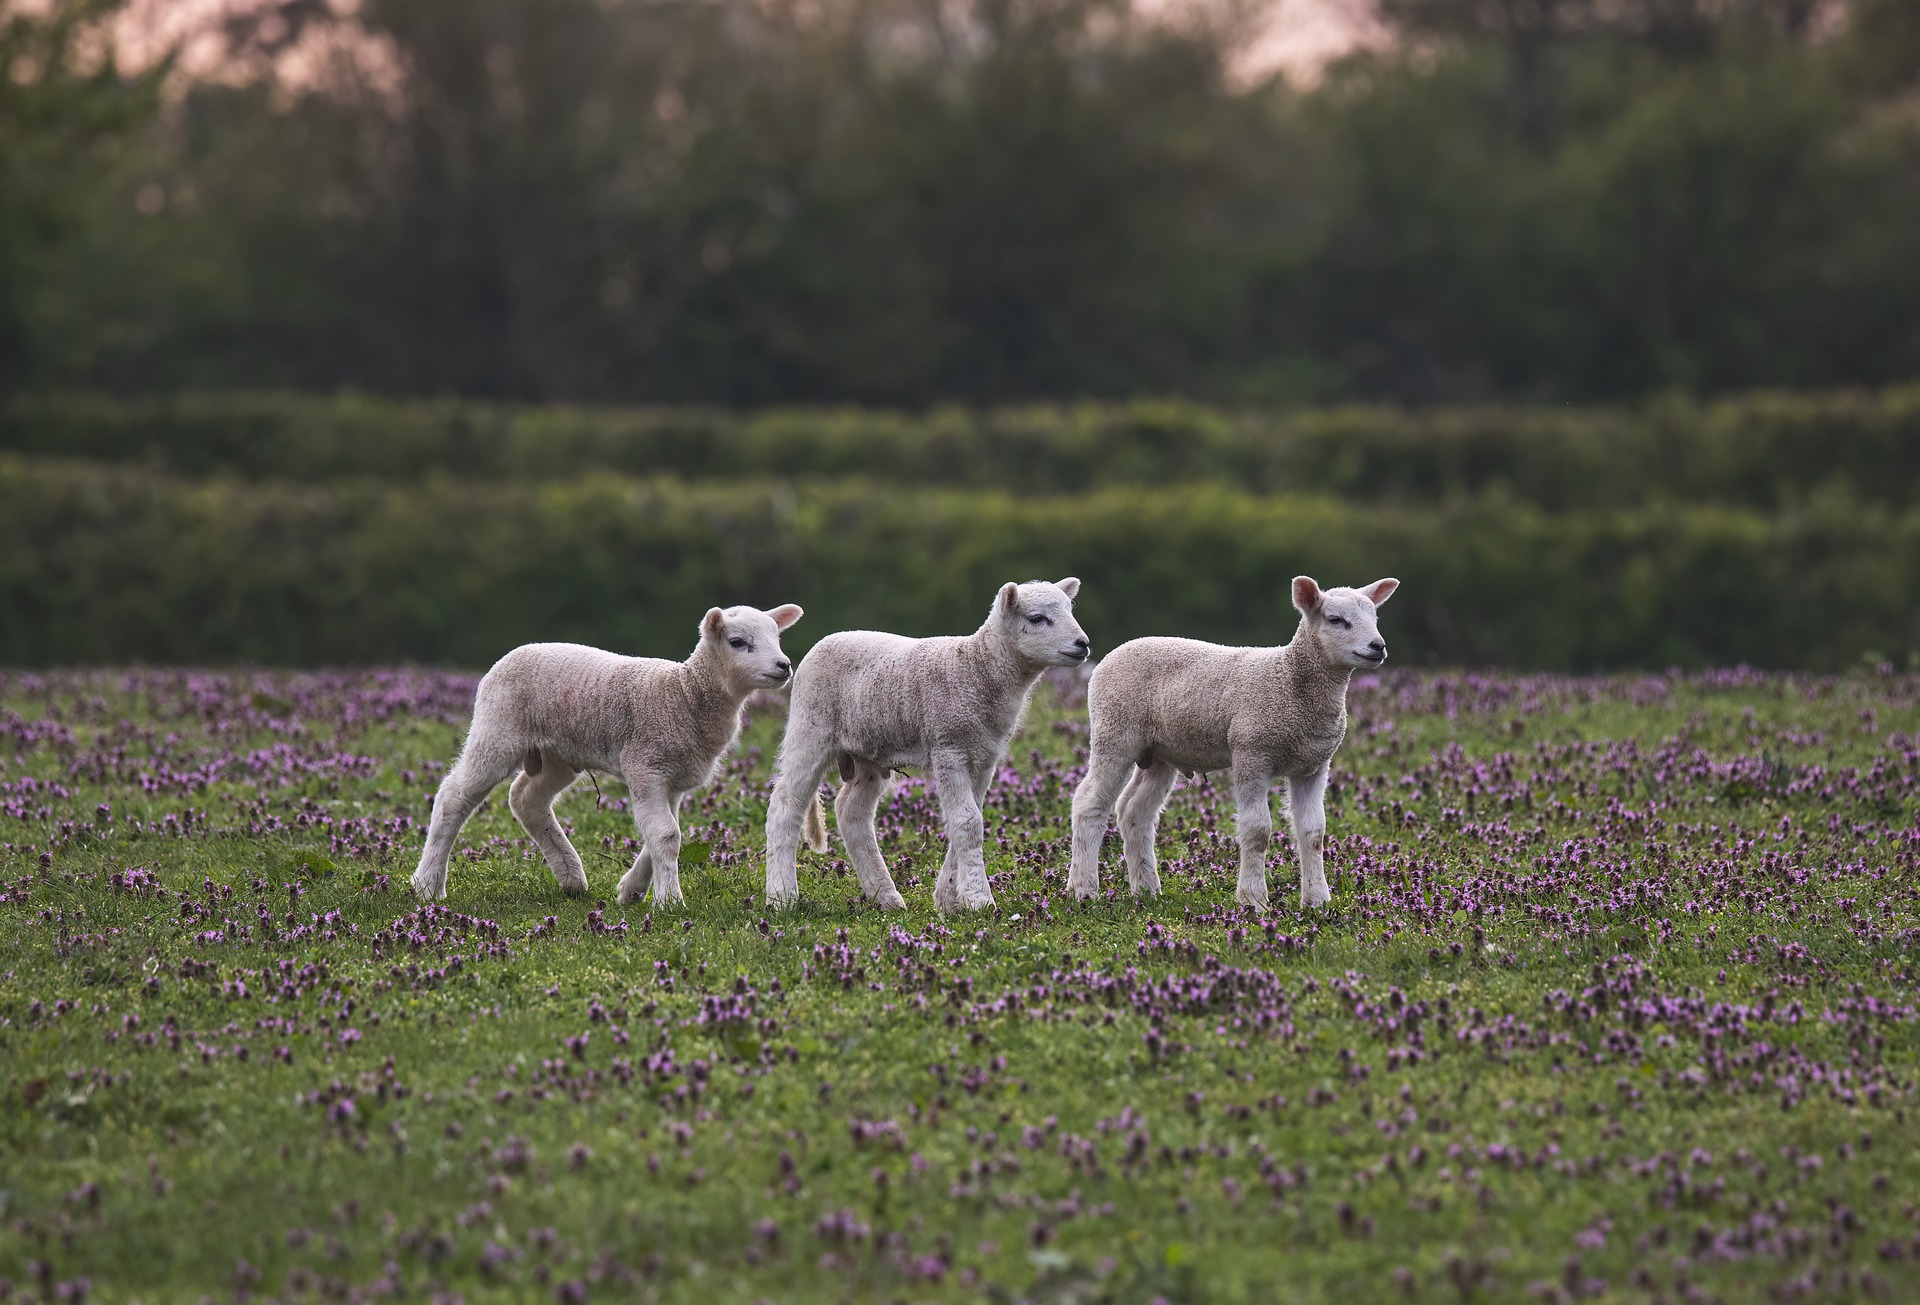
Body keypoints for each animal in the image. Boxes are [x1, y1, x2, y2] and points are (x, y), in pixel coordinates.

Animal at [412, 602, 802, 901]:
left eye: (777, 638)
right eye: (738, 642)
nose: (784, 665)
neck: (685, 692)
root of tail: (512, 653)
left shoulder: (672, 776)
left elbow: (660, 834)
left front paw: (632, 890)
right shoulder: (646, 764)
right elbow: (666, 835)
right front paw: (669, 901)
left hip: (558, 753)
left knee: (526, 798)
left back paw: (571, 878)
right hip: (498, 730)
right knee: (454, 796)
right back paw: (428, 885)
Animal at [764, 575, 1098, 913]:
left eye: (1070, 611)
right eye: (1037, 619)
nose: (1083, 644)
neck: (976, 668)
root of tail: (826, 640)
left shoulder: (984, 756)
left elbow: (968, 819)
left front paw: (948, 899)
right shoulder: (948, 746)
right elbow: (967, 822)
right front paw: (979, 900)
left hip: (869, 752)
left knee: (851, 812)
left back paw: (885, 897)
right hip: (810, 729)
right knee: (785, 806)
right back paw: (782, 897)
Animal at [1067, 575, 1397, 913]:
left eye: (1375, 618)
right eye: (1336, 620)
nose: (1378, 646)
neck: (1290, 679)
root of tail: (1112, 655)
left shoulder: (1314, 766)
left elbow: (1313, 832)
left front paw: (1317, 902)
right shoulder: (1251, 754)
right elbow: (1257, 830)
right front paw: (1253, 901)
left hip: (1159, 751)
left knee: (1135, 811)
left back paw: (1146, 891)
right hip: (1115, 732)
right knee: (1089, 804)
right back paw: (1083, 891)